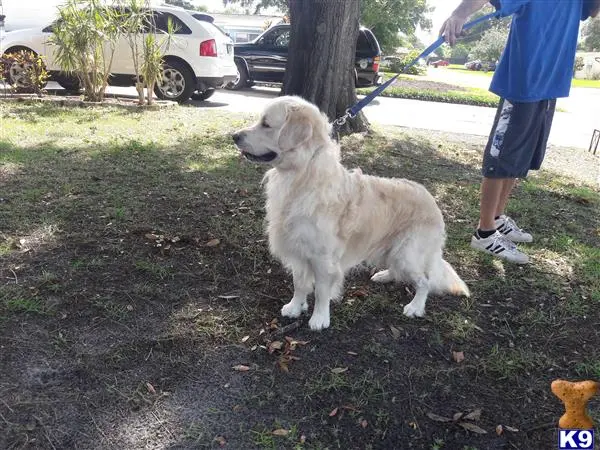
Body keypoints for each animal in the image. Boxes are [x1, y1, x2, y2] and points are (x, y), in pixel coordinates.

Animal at [232, 96, 472, 330]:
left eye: (266, 124)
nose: (234, 136)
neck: (302, 176)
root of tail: (431, 199)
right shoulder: (298, 250)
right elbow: (299, 284)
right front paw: (294, 307)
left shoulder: (322, 258)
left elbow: (321, 291)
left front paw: (320, 318)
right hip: (393, 250)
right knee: (399, 270)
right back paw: (384, 275)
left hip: (408, 253)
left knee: (424, 281)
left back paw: (415, 307)